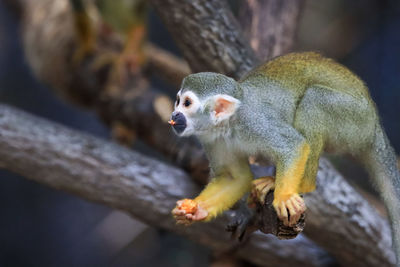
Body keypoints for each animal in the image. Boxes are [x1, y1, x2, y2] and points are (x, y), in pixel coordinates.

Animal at [168, 51, 400, 262]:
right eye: (177, 101)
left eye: (187, 103)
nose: (173, 115)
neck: (228, 125)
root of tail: (374, 125)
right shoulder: (212, 139)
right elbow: (235, 178)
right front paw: (197, 209)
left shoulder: (254, 122)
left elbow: (293, 145)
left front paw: (284, 196)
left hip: (355, 119)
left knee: (314, 99)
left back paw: (300, 184)